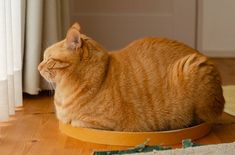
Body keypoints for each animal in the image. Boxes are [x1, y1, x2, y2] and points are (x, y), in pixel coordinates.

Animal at [38, 23, 224, 131]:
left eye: (49, 60)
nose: (38, 67)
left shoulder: (106, 124)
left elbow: (74, 122)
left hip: (192, 67)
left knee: (203, 118)